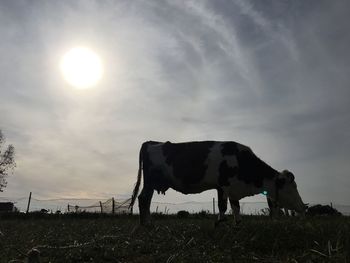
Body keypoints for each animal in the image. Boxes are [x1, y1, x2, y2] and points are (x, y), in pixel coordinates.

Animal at [129, 141, 306, 226]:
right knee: (143, 199)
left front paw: (227, 222)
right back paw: (146, 224)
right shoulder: (228, 185)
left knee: (146, 200)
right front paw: (231, 223)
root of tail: (151, 142)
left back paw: (148, 222)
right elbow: (230, 206)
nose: (303, 207)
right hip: (150, 181)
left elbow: (227, 205)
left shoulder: (224, 187)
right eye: (292, 188)